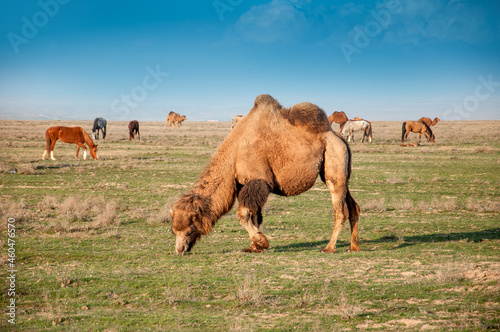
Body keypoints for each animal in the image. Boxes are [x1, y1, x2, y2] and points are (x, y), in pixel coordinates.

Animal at [171, 94, 360, 255]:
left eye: (188, 230)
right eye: (173, 231)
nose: (180, 250)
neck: (234, 155)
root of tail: (339, 137)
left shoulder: (259, 180)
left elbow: (243, 214)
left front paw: (261, 242)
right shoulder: (245, 184)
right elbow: (255, 215)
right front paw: (254, 247)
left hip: (334, 160)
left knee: (339, 210)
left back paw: (329, 248)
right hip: (342, 172)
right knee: (352, 206)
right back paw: (353, 246)